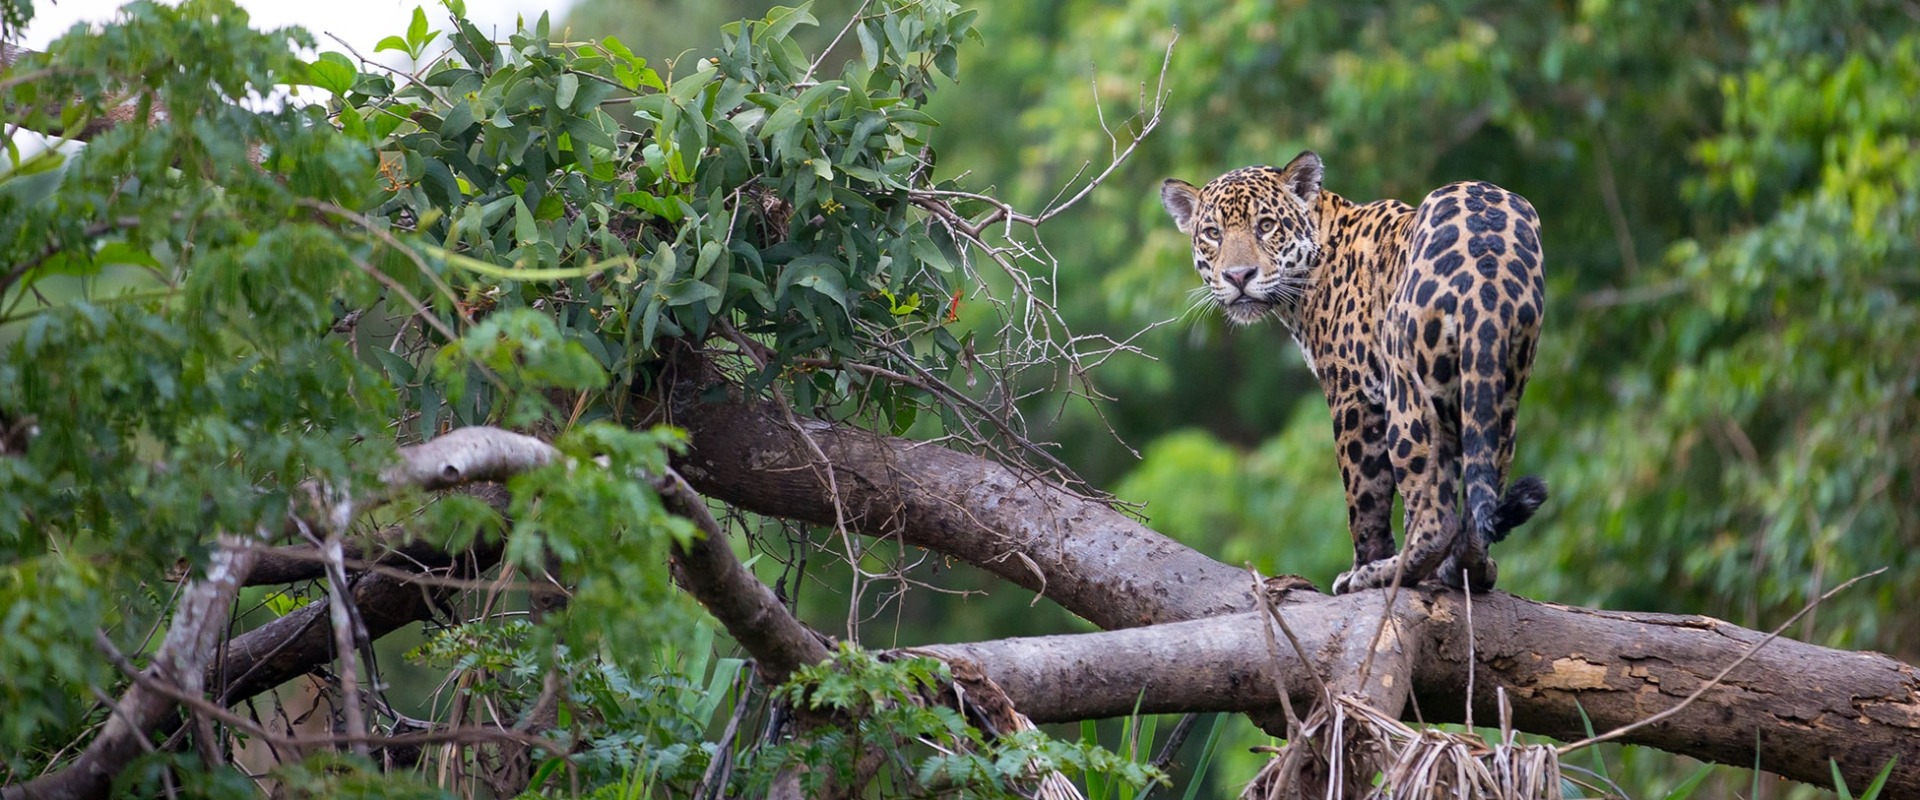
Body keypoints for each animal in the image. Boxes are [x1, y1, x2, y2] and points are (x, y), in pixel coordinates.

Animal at [1160, 151, 1548, 594]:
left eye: (1266, 225)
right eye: (1212, 233)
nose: (1238, 276)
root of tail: (1487, 265)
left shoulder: (1354, 394)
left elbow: (1363, 495)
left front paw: (1362, 564)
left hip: (1408, 394)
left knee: (1434, 516)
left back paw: (1386, 573)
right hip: (1501, 388)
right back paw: (1468, 568)